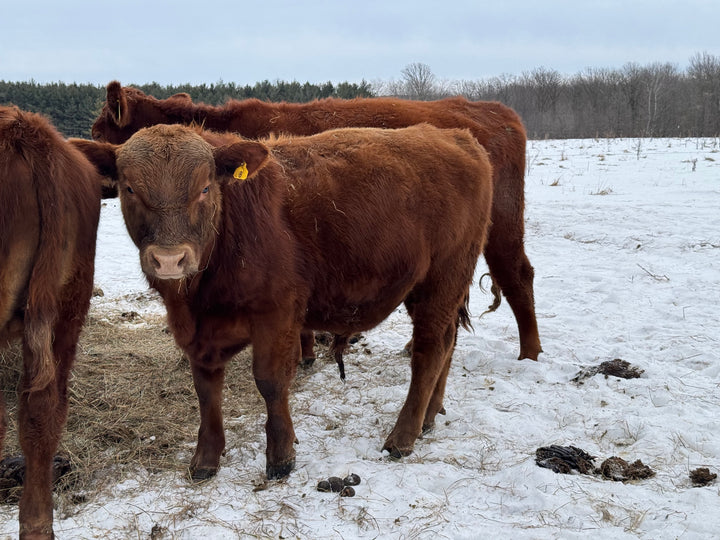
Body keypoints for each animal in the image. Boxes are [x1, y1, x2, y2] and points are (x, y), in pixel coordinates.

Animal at [72, 123, 493, 482]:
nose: (170, 259)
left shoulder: (277, 314)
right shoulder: (198, 333)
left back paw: (403, 436)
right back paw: (428, 418)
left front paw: (280, 457)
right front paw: (206, 458)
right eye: (129, 188)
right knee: (447, 344)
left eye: (205, 188)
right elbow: (206, 388)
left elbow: (270, 382)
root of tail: (455, 135)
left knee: (429, 351)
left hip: (442, 280)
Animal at [91, 81, 542, 362]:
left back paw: (530, 352)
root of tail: (494, 111)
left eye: (97, 134)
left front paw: (304, 354)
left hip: (502, 227)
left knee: (518, 275)